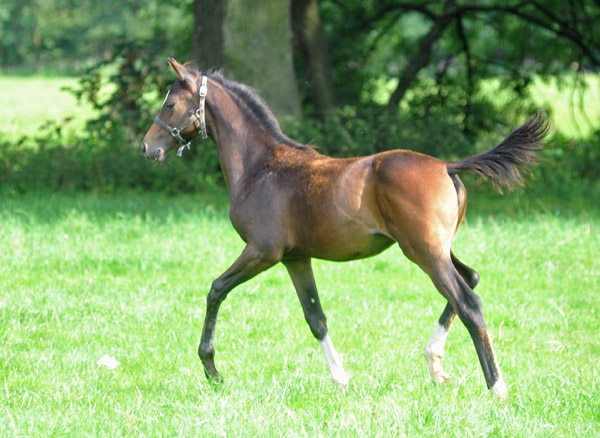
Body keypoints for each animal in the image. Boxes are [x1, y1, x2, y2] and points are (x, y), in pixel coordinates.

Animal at [141, 58, 548, 400]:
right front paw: (341, 379)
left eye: (169, 104)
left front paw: (211, 368)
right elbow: (316, 318)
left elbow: (216, 290)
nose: (146, 148)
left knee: (469, 302)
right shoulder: (295, 259)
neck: (261, 167)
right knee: (472, 279)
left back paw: (496, 387)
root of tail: (448, 166)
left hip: (424, 252)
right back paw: (435, 362)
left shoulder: (262, 251)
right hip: (438, 249)